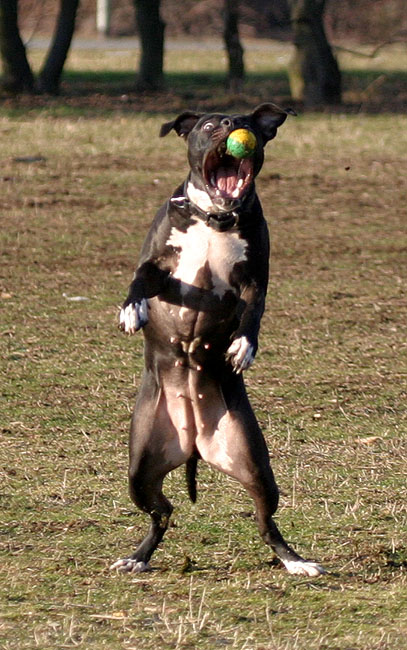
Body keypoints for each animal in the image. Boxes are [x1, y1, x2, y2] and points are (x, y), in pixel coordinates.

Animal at [111, 104, 326, 576]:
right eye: (209, 126)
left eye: (247, 125)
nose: (230, 127)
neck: (215, 218)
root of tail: (193, 438)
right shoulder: (157, 265)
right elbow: (138, 278)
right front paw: (132, 310)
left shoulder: (255, 280)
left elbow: (253, 311)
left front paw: (243, 345)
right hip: (140, 467)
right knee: (162, 513)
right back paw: (137, 558)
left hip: (256, 467)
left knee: (265, 523)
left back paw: (297, 563)